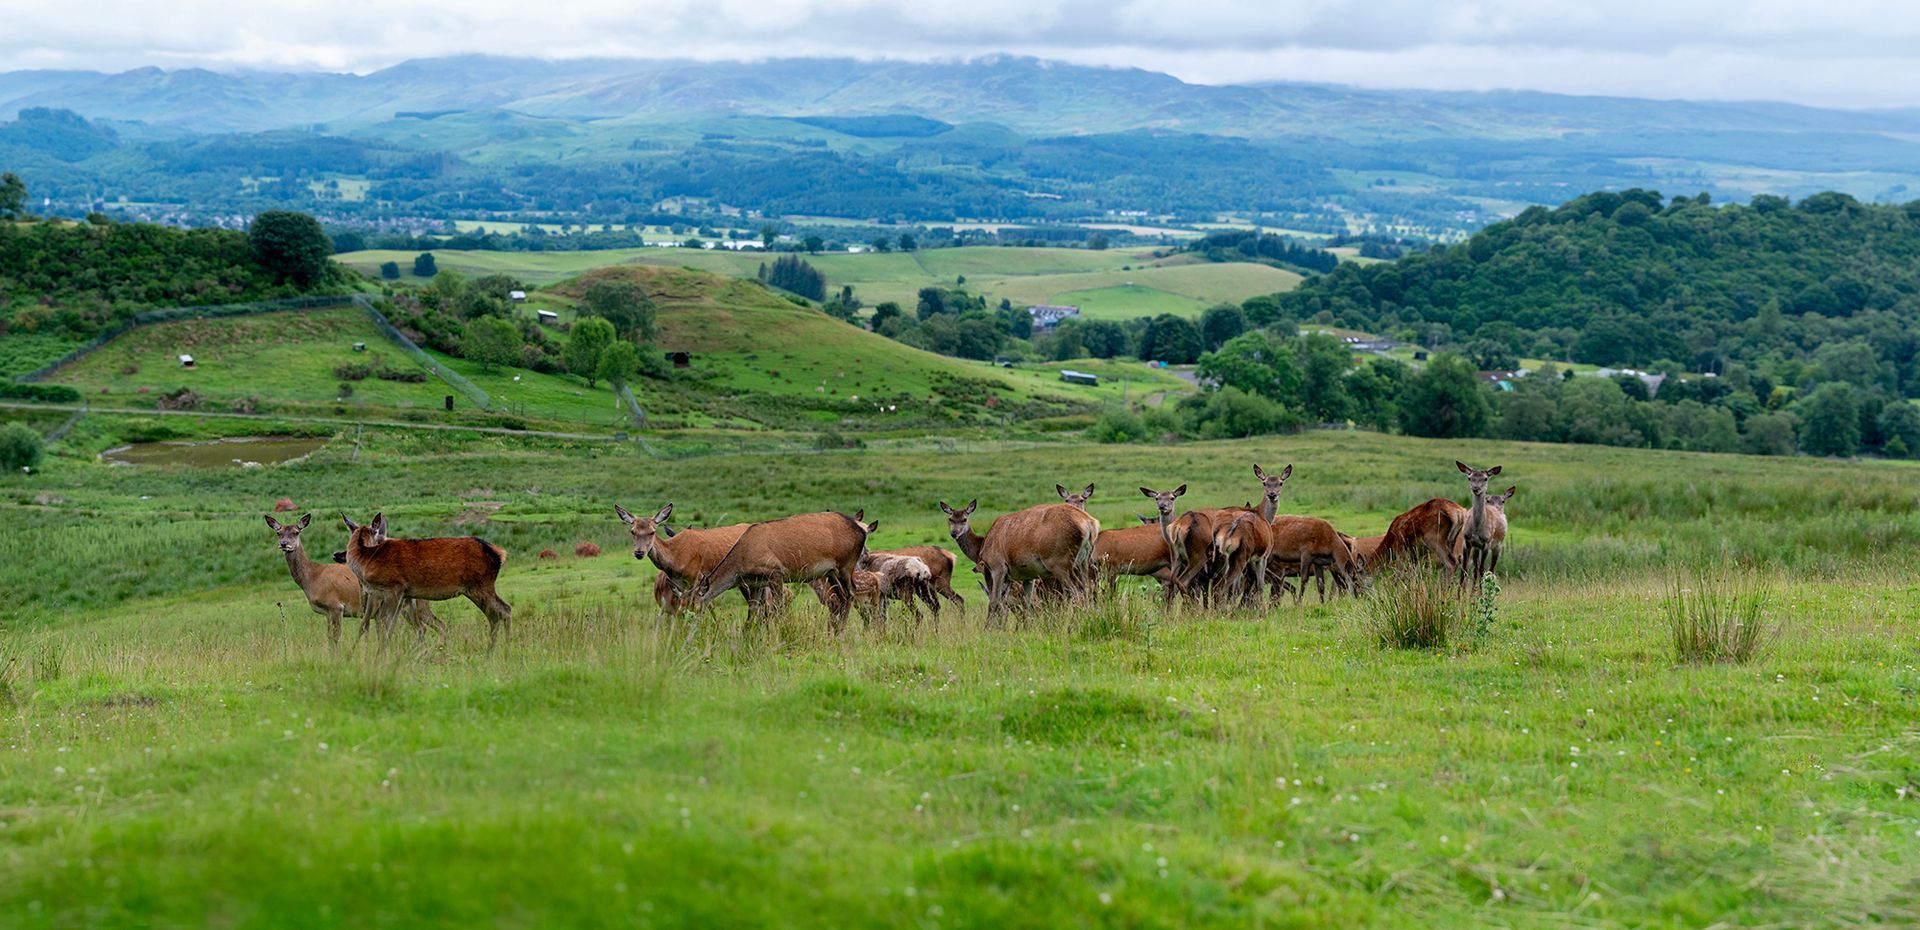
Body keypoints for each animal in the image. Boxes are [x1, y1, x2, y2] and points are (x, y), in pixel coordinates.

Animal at [265, 514, 443, 648]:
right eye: (278, 533)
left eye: (296, 532)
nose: (284, 544)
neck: (312, 579)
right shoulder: (327, 613)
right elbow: (330, 638)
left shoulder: (335, 606)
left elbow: (336, 639)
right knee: (428, 626)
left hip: (416, 604)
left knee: (428, 626)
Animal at [340, 513, 512, 652]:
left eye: (379, 539)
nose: (336, 555)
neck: (367, 561)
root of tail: (500, 553)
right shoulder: (400, 595)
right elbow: (387, 625)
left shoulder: (394, 588)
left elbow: (385, 624)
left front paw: (381, 655)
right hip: (476, 589)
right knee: (495, 615)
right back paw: (491, 651)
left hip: (481, 585)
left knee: (505, 609)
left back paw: (506, 651)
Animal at [692, 511, 876, 632]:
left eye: (694, 604)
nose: (689, 626)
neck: (742, 563)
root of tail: (862, 530)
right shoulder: (756, 583)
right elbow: (753, 611)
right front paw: (747, 637)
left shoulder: (775, 572)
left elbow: (778, 607)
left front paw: (781, 632)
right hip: (831, 572)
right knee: (842, 597)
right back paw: (835, 630)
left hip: (846, 564)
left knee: (851, 593)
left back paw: (840, 631)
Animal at [940, 495, 1099, 621]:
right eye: (950, 519)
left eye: (964, 519)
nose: (954, 533)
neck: (980, 548)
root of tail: (1090, 524)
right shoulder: (1027, 575)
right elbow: (1024, 604)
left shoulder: (998, 567)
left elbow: (995, 602)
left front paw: (989, 629)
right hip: (1082, 562)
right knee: (1086, 590)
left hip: (1060, 562)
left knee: (1076, 593)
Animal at [1449, 461, 1507, 591]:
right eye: (1469, 478)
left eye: (1485, 478)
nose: (1475, 488)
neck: (1476, 529)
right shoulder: (1467, 541)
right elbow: (1464, 570)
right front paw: (1459, 594)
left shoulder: (1486, 542)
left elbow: (1482, 570)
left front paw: (1481, 593)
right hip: (1476, 548)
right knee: (1476, 568)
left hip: (1498, 545)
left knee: (1491, 569)